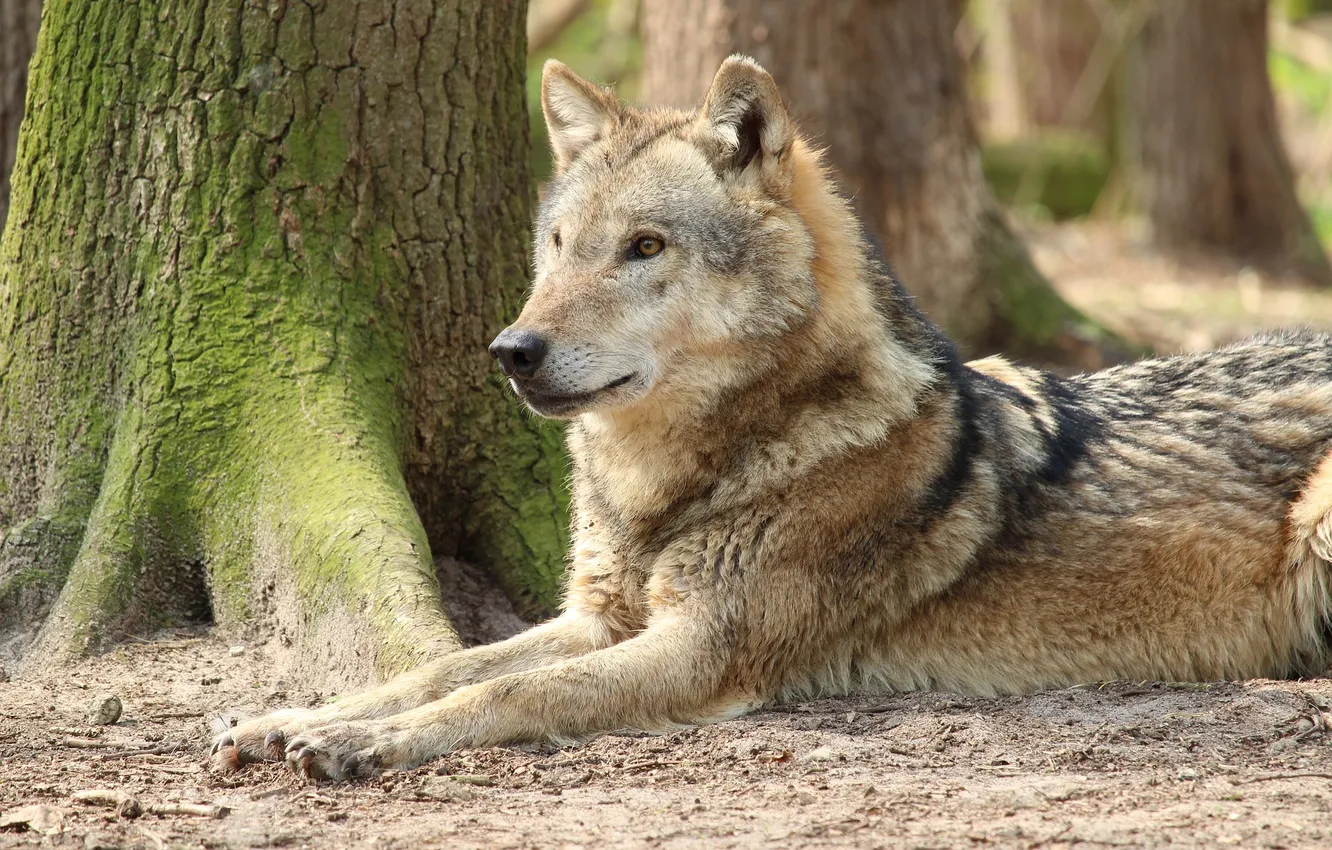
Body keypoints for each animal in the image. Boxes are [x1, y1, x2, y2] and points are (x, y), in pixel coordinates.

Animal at [213, 56, 1332, 781]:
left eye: (646, 246)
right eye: (561, 245)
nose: (510, 352)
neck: (675, 485)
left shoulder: (701, 649)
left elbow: (505, 695)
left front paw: (359, 745)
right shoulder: (595, 617)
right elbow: (442, 664)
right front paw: (294, 716)